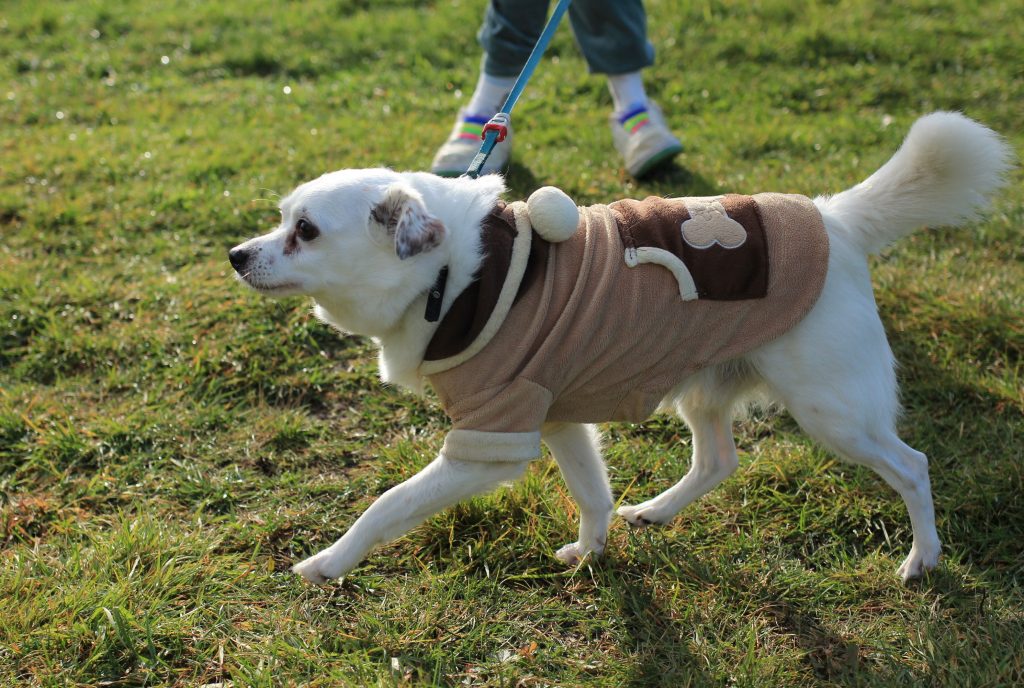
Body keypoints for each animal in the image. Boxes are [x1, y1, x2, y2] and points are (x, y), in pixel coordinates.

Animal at [229, 112, 1011, 585]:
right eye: (280, 219)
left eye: (305, 231)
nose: (236, 255)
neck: (457, 276)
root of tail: (833, 217)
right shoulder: (556, 416)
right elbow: (592, 491)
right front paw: (593, 550)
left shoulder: (489, 442)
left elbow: (389, 504)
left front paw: (329, 563)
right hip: (709, 385)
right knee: (717, 459)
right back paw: (658, 512)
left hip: (834, 409)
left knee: (911, 466)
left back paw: (923, 557)